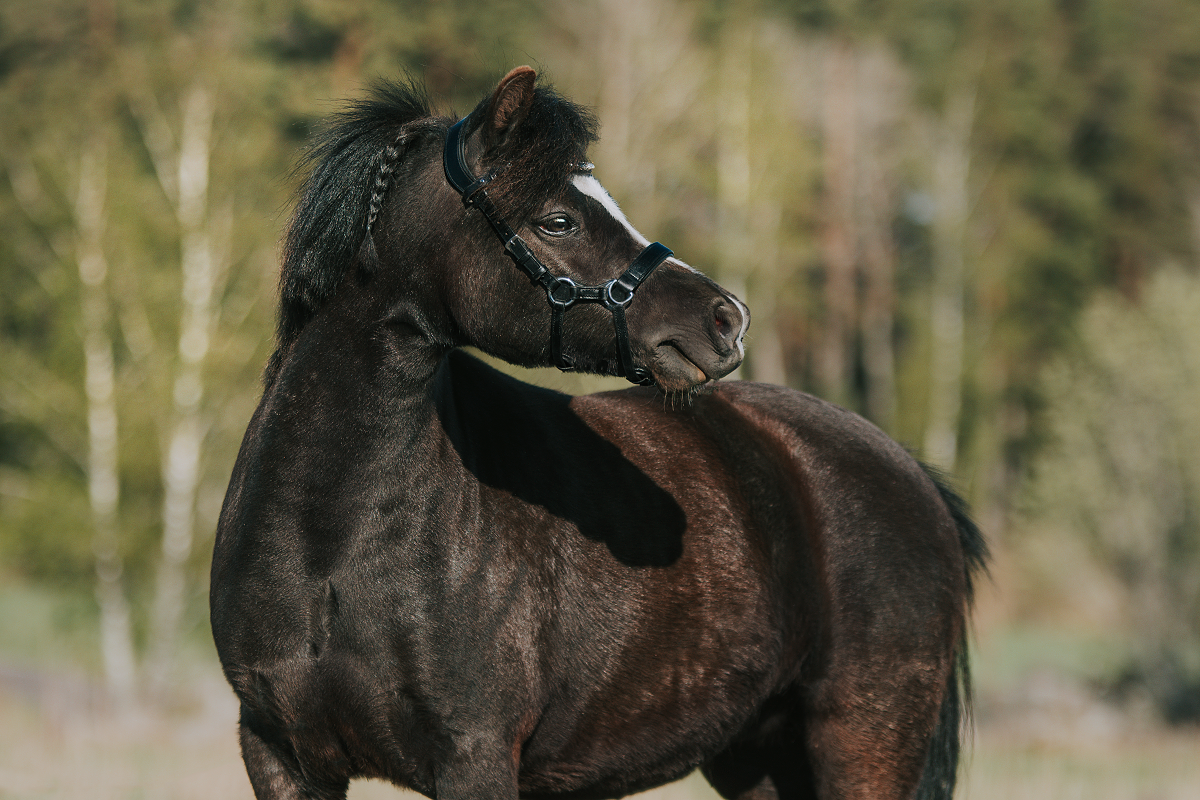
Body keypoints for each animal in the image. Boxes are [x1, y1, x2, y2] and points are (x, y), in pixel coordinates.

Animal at [211, 68, 988, 800]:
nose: (725, 319)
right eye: (557, 220)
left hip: (864, 745)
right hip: (757, 758)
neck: (329, 539)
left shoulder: (474, 757)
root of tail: (910, 473)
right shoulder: (278, 755)